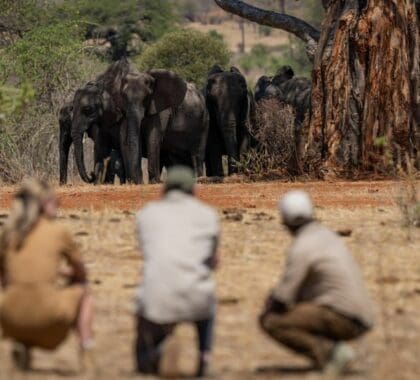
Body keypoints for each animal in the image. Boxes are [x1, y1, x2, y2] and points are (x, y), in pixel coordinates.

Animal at [72, 56, 210, 186]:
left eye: (87, 110)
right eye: (123, 98)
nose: (91, 174)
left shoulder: (159, 110)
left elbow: (150, 138)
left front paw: (151, 182)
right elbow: (105, 144)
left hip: (204, 121)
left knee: (196, 154)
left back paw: (199, 179)